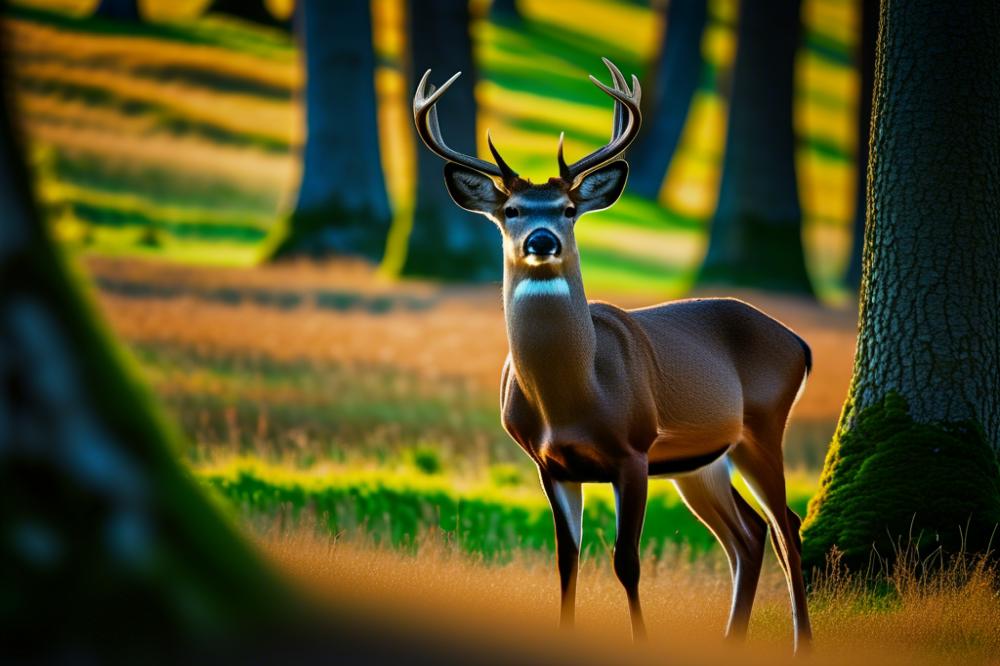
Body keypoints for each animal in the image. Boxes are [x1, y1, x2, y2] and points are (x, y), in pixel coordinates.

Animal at [412, 59, 813, 653]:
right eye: (511, 210)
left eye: (568, 209)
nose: (541, 240)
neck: (573, 398)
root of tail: (798, 343)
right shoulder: (549, 463)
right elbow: (567, 561)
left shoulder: (634, 451)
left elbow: (627, 561)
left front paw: (641, 641)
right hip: (701, 460)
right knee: (749, 532)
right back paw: (731, 639)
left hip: (762, 426)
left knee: (788, 525)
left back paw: (800, 641)